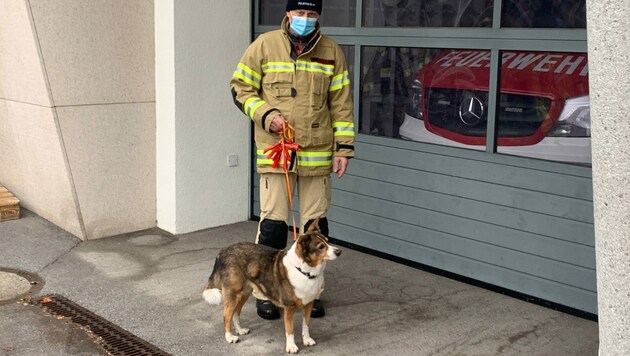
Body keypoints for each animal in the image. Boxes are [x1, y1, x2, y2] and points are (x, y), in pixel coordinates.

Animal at [202, 222, 340, 354]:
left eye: (327, 241)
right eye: (321, 247)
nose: (339, 252)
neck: (304, 271)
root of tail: (222, 252)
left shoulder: (309, 304)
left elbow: (306, 324)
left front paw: (306, 340)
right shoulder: (289, 308)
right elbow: (290, 329)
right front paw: (291, 346)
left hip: (244, 293)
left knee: (236, 313)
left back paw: (240, 330)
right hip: (233, 293)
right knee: (226, 316)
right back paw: (229, 337)